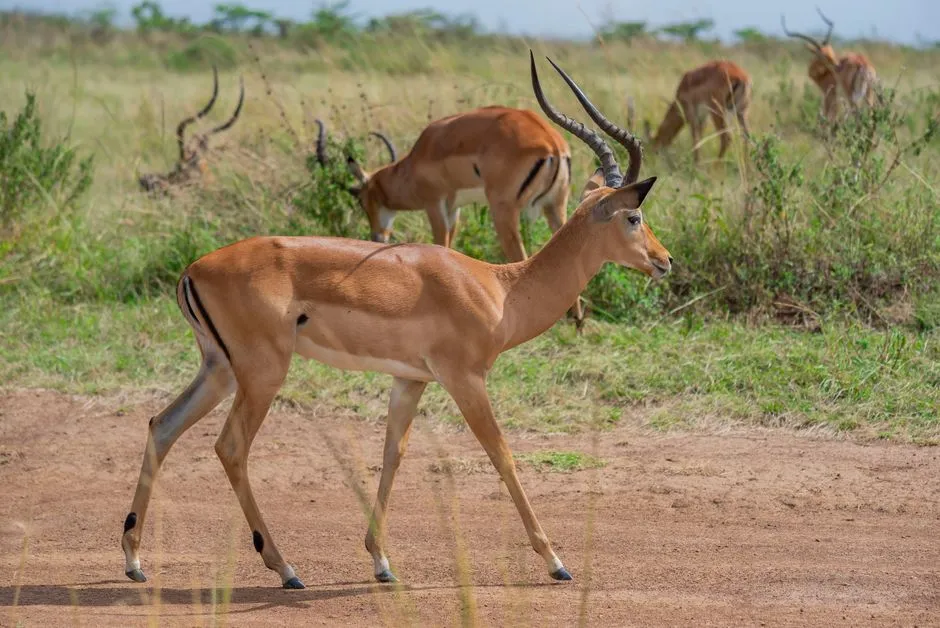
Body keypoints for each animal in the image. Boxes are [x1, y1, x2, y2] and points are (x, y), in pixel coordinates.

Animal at [119, 50, 672, 590]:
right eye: (634, 217)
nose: (664, 261)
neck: (501, 288)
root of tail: (192, 270)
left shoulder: (410, 380)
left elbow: (392, 454)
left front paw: (382, 562)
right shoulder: (465, 379)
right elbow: (502, 454)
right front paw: (556, 561)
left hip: (220, 369)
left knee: (161, 425)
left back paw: (135, 560)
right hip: (262, 373)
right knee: (230, 446)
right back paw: (286, 569)